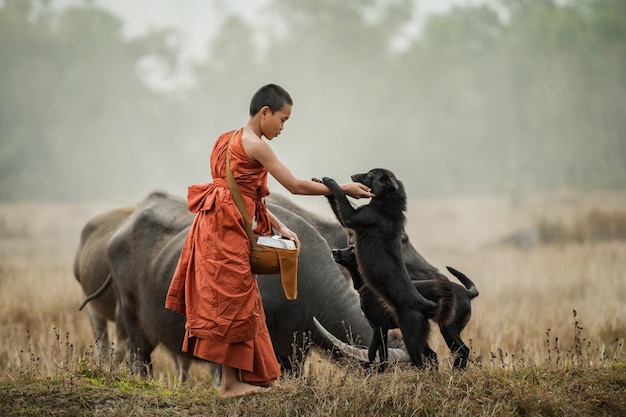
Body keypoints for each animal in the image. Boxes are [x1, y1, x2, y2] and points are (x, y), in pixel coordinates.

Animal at [316, 167, 438, 368]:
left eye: (370, 174)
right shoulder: (379, 328)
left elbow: (340, 195)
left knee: (421, 361)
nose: (352, 176)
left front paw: (329, 181)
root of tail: (424, 304)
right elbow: (378, 355)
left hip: (411, 338)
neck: (386, 206)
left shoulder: (353, 217)